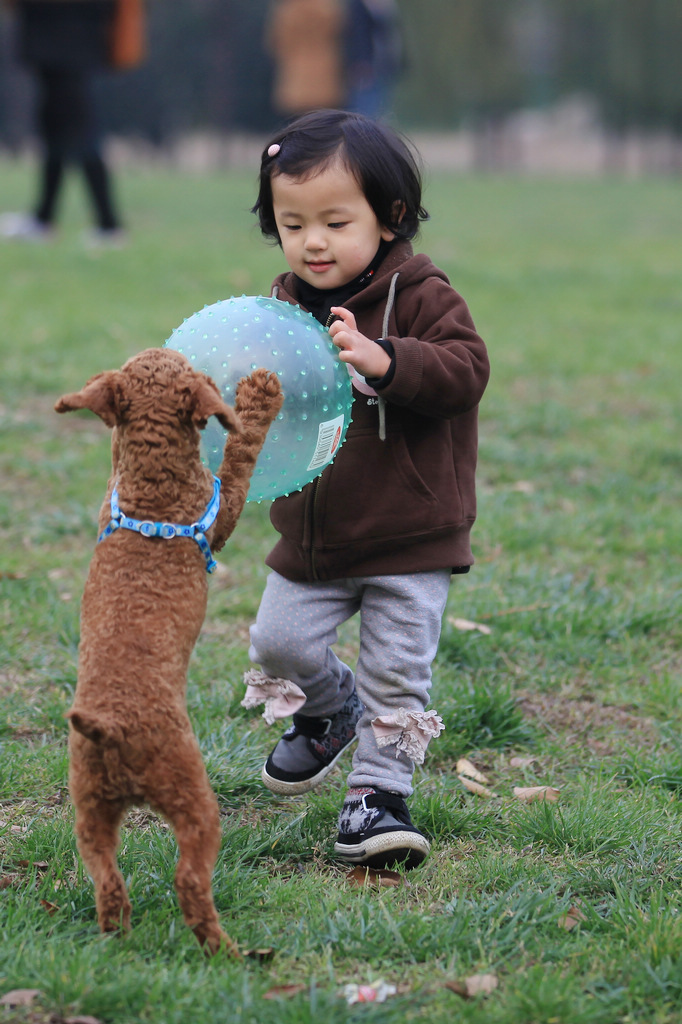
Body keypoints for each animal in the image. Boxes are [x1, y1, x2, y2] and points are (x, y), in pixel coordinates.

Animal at [54, 348, 282, 954]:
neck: (150, 486)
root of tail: (110, 727)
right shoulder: (223, 507)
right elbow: (242, 452)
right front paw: (258, 395)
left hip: (90, 812)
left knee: (107, 879)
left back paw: (117, 936)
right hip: (195, 802)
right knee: (190, 883)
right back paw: (226, 950)